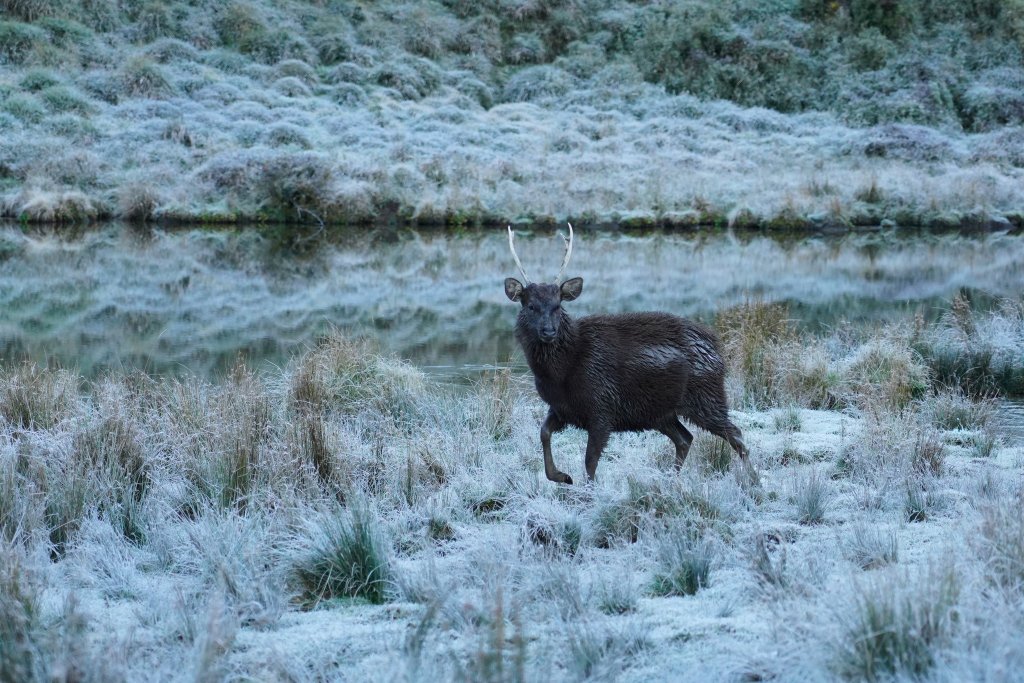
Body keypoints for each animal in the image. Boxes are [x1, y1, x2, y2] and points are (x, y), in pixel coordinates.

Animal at [505, 227, 761, 489]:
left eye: (558, 305)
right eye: (531, 306)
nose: (548, 331)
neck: (561, 373)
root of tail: (717, 348)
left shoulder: (602, 406)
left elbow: (590, 461)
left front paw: (586, 490)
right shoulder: (561, 408)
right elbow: (544, 433)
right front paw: (563, 476)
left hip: (706, 396)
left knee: (734, 433)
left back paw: (755, 481)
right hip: (661, 412)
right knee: (685, 438)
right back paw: (671, 480)